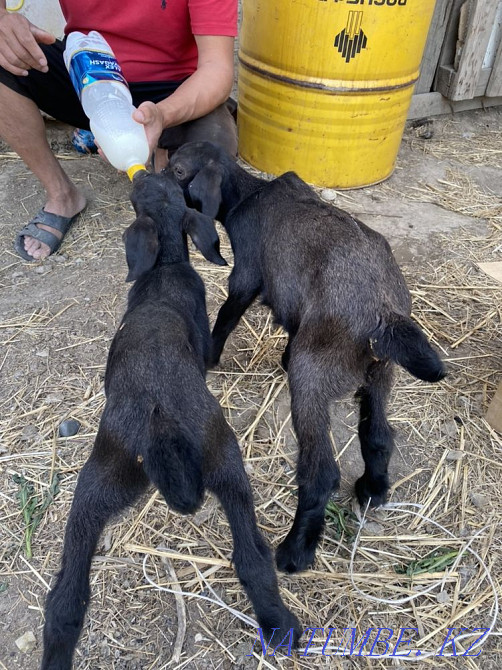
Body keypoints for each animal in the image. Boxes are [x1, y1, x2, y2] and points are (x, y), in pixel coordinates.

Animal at [42, 171, 301, 670]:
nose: (143, 170)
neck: (164, 268)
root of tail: (160, 422)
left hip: (96, 484)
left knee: (67, 596)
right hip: (225, 459)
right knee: (252, 557)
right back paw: (280, 625)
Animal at [169, 141, 446, 575]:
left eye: (178, 170)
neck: (248, 194)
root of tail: (384, 314)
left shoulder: (247, 274)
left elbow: (227, 315)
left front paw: (209, 357)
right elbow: (291, 326)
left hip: (312, 379)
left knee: (320, 474)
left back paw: (295, 551)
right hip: (380, 375)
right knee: (378, 435)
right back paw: (372, 491)